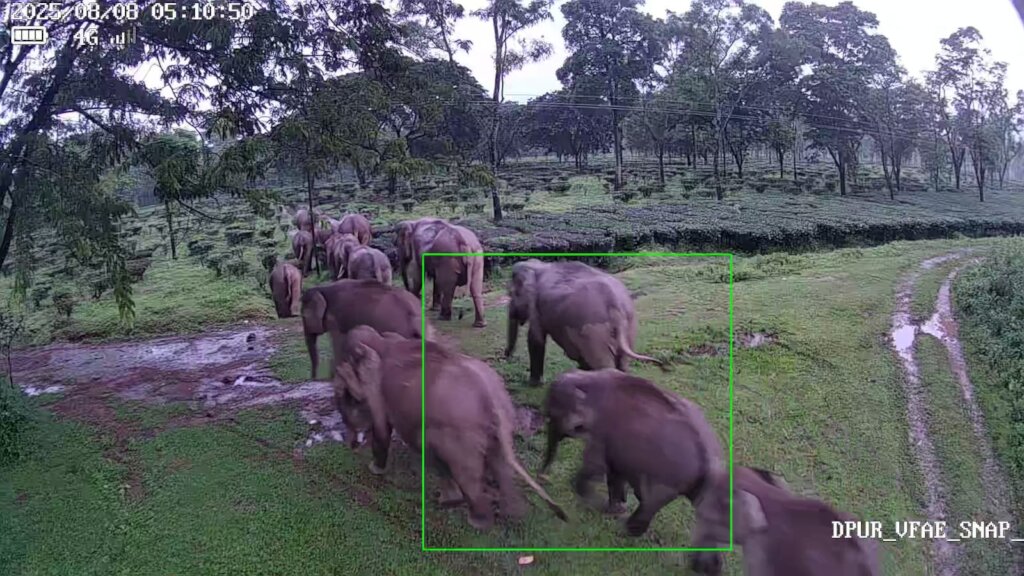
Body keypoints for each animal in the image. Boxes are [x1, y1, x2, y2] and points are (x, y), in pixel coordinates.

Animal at [332, 325, 568, 530]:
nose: (352, 445)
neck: (379, 340)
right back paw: (510, 512)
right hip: (494, 432)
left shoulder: (375, 386)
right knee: (499, 464)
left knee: (446, 458)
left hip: (460, 437)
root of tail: (492, 400)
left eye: (345, 394)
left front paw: (374, 469)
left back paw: (473, 518)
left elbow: (382, 428)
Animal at [505, 259, 663, 387]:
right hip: (630, 329)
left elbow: (535, 340)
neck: (538, 265)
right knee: (623, 364)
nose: (507, 357)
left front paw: (533, 384)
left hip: (594, 333)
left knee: (604, 366)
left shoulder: (536, 306)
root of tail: (615, 307)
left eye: (511, 294)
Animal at [540, 369, 725, 541]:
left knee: (649, 503)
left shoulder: (602, 431)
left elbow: (595, 467)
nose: (542, 477)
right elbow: (615, 472)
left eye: (551, 416)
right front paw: (616, 507)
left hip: (669, 480)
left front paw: (603, 507)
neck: (589, 378)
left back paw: (623, 529)